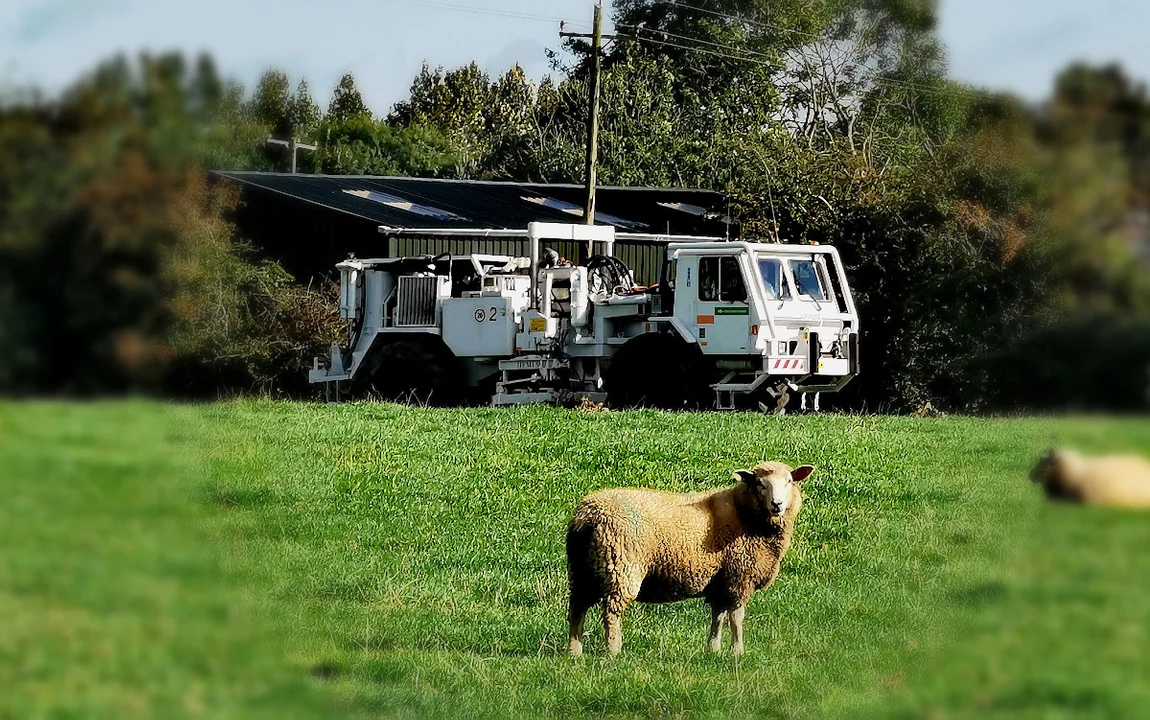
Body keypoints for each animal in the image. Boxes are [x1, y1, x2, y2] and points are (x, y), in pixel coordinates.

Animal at [561, 460, 814, 657]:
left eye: (789, 481)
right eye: (760, 484)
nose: (777, 504)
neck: (746, 516)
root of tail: (588, 515)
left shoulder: (721, 582)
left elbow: (718, 617)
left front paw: (713, 650)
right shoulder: (739, 577)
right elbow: (736, 617)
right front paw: (738, 652)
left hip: (582, 567)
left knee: (577, 608)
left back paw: (574, 651)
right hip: (620, 567)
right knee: (610, 611)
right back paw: (613, 650)